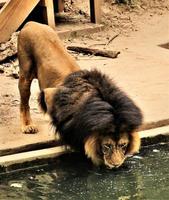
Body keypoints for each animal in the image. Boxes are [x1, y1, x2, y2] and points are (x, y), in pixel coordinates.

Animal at [18, 21, 143, 169]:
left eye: (123, 145)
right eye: (107, 146)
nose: (115, 165)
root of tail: (31, 23)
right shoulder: (52, 94)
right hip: (25, 73)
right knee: (24, 102)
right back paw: (27, 126)